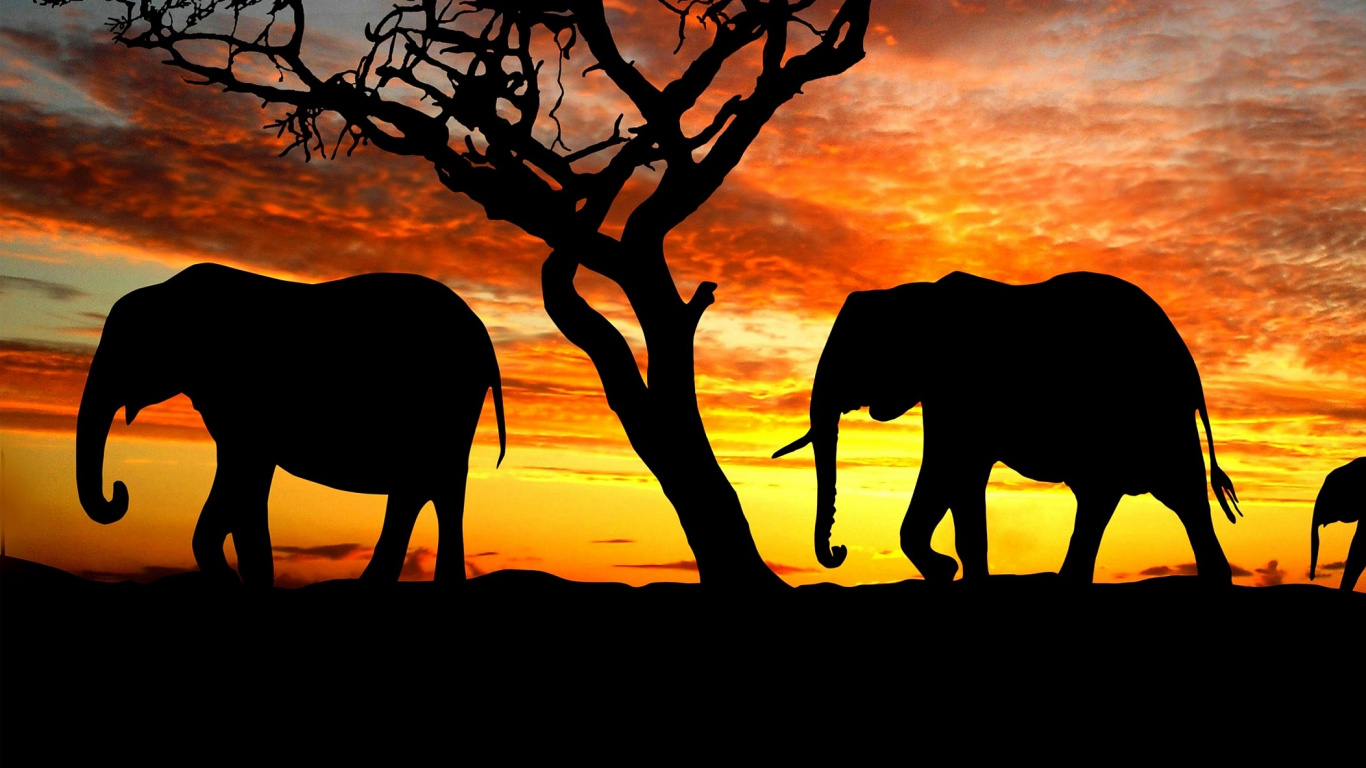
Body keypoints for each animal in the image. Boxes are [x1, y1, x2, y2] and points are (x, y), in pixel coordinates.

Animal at [76, 263, 506, 586]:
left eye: (126, 349)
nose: (119, 491)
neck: (169, 292)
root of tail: (485, 341)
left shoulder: (245, 400)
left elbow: (243, 480)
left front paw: (242, 580)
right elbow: (241, 486)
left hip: (444, 403)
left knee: (430, 487)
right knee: (426, 489)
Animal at [773, 270, 1241, 583]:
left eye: (853, 355)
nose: (838, 550)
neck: (912, 295)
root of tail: (1190, 368)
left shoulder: (960, 388)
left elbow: (951, 468)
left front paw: (950, 570)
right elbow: (952, 477)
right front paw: (949, 571)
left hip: (1155, 415)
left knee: (1177, 497)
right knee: (1117, 499)